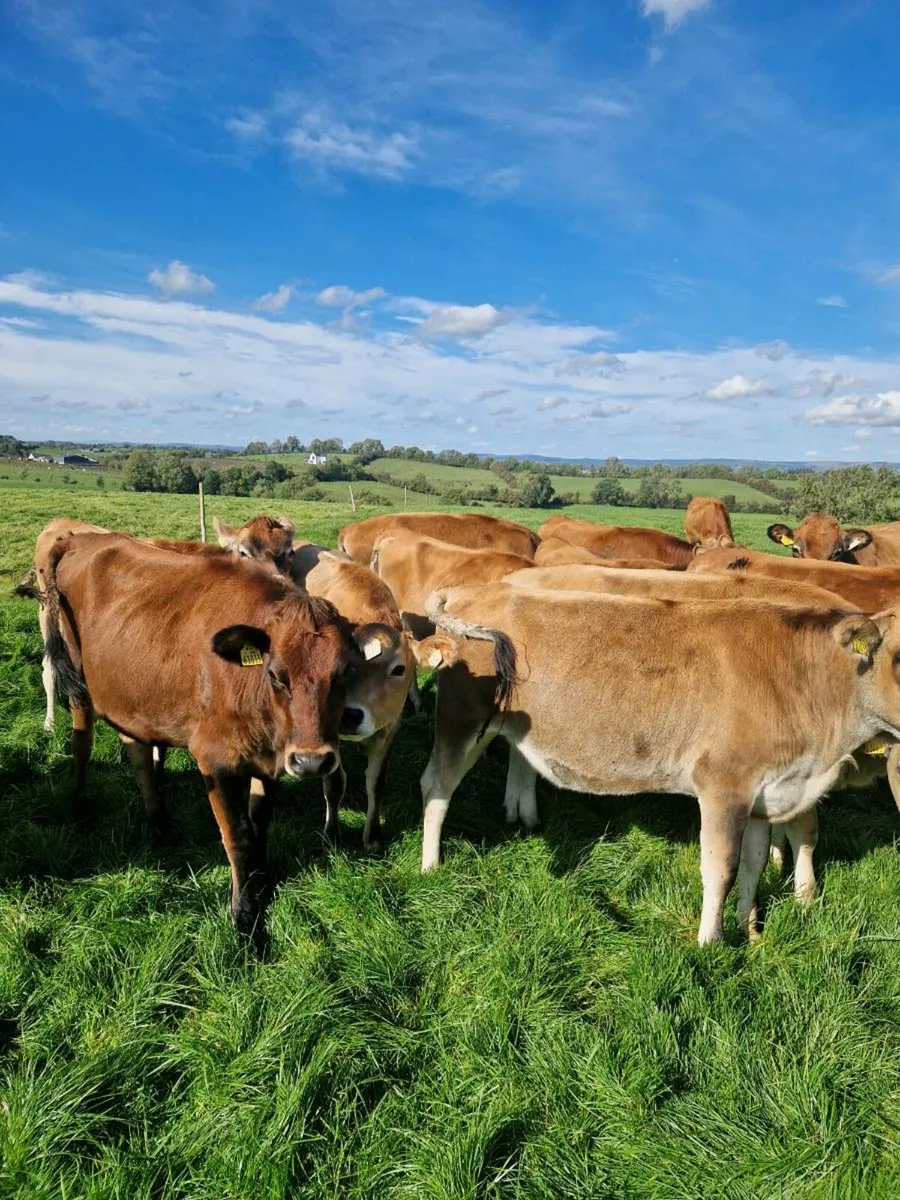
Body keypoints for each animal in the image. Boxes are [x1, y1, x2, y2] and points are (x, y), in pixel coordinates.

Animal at [39, 531, 365, 942]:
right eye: (276, 675)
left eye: (345, 672)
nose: (311, 761)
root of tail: (81, 537)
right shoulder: (215, 760)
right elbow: (238, 836)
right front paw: (244, 916)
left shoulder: (270, 758)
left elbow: (260, 819)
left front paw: (262, 878)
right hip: (79, 679)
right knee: (81, 743)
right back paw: (81, 806)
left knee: (138, 754)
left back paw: (159, 822)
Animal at [414, 583, 900, 943]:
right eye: (898, 658)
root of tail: (475, 589)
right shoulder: (723, 785)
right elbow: (720, 868)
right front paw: (712, 942)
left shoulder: (767, 792)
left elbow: (754, 863)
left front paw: (752, 932)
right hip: (461, 719)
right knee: (435, 786)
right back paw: (430, 866)